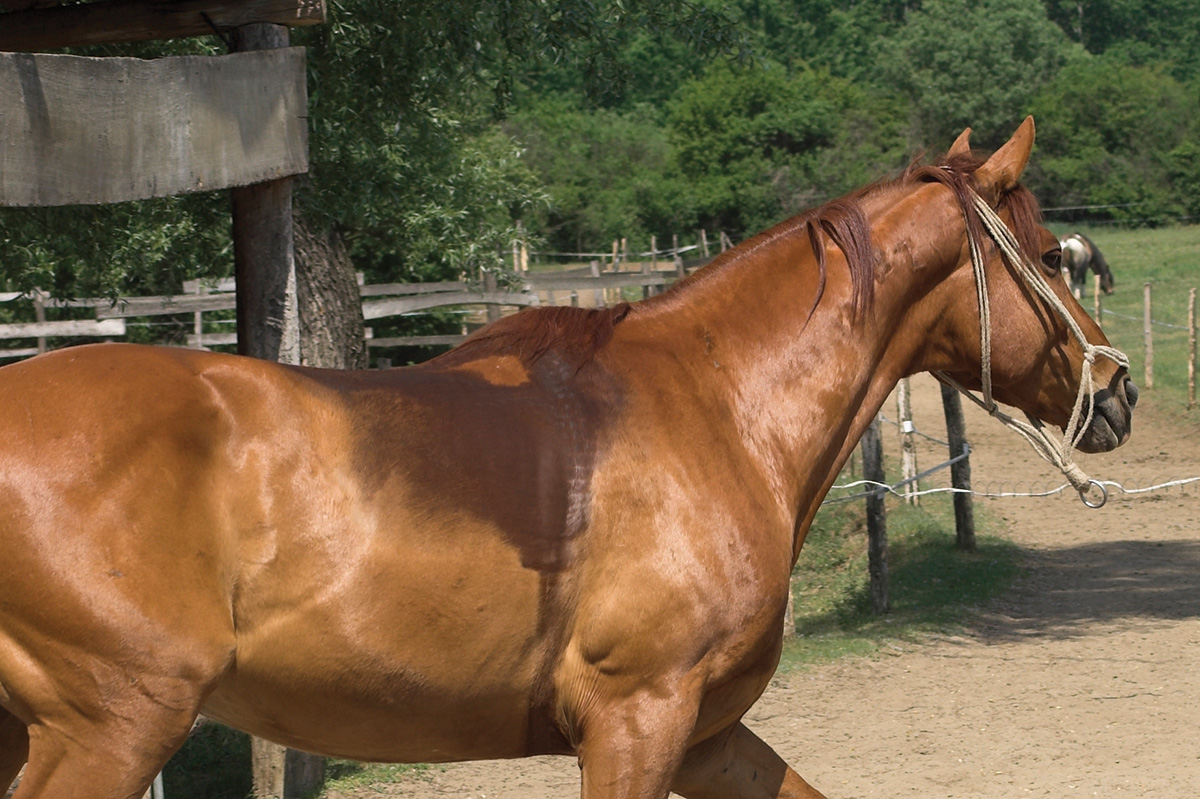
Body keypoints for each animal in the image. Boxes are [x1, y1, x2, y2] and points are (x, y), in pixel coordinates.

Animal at [0, 118, 1132, 796]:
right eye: (1046, 253)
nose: (1116, 390)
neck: (719, 411)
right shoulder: (637, 718)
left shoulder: (708, 732)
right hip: (112, 725)